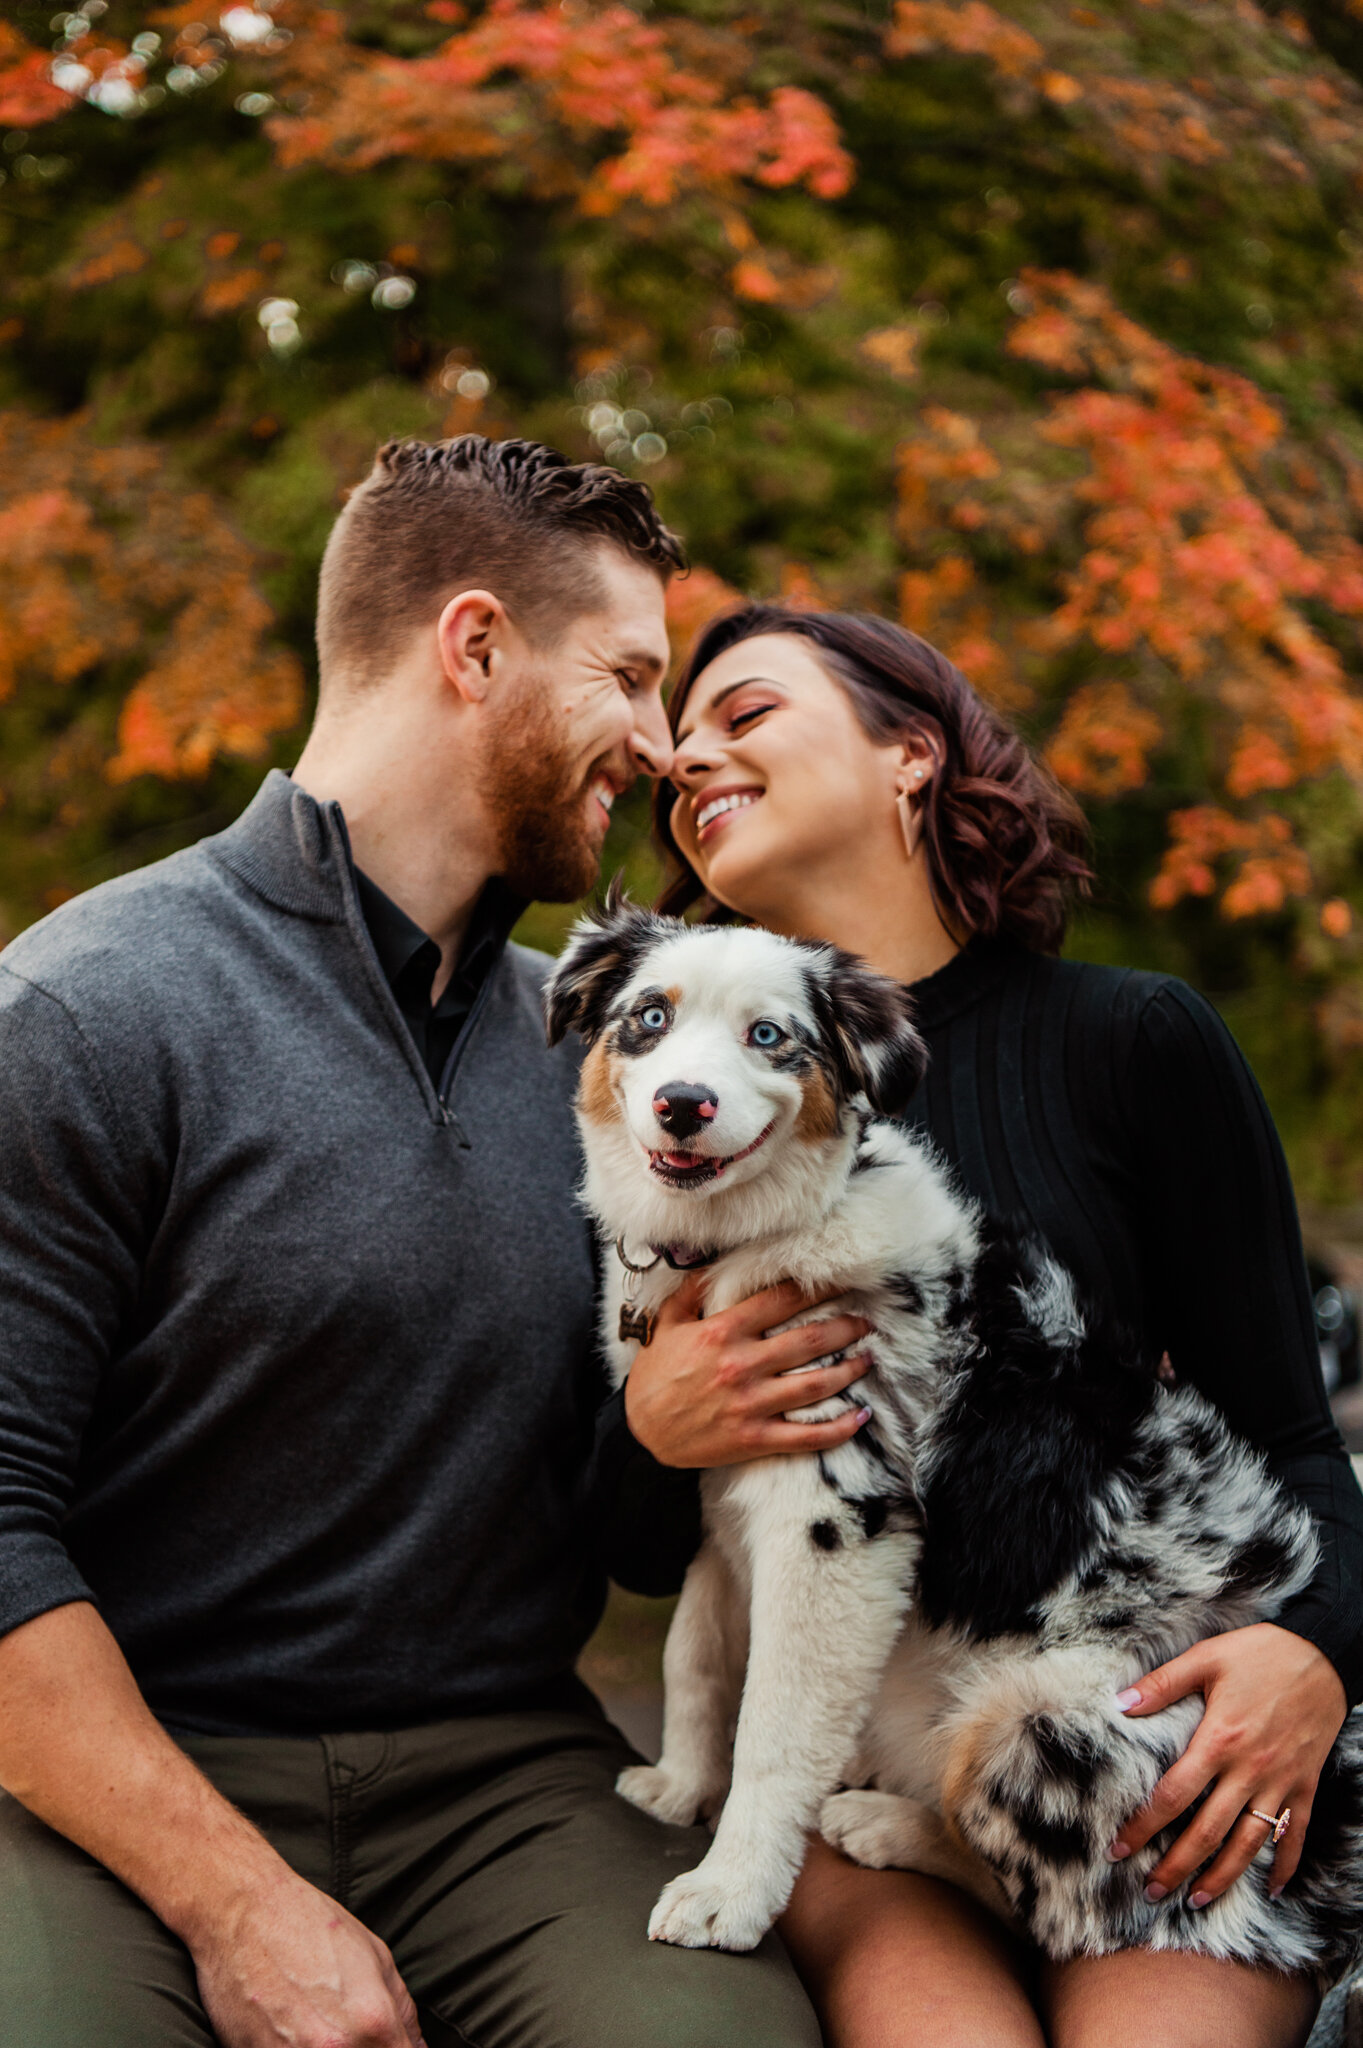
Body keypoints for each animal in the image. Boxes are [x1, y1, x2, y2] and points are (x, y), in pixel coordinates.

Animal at [540, 901, 1358, 1982]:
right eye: (648, 1017)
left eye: (769, 1036)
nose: (683, 1105)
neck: (752, 1234)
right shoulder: (720, 1492)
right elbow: (697, 1655)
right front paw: (678, 1783)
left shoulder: (838, 1519)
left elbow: (772, 1722)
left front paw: (730, 1892)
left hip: (1040, 1711)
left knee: (1060, 1910)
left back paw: (886, 1824)